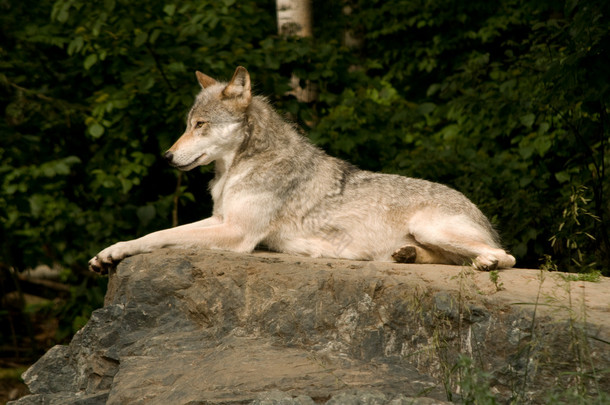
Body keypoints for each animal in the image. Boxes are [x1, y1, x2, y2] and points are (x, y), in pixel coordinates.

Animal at [88, 66, 516, 274]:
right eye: (187, 124)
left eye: (199, 125)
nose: (166, 156)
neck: (236, 171)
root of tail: (479, 211)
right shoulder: (222, 220)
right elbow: (161, 232)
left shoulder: (237, 232)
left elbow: (158, 235)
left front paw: (113, 252)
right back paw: (407, 257)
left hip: (434, 228)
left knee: (505, 255)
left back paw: (486, 262)